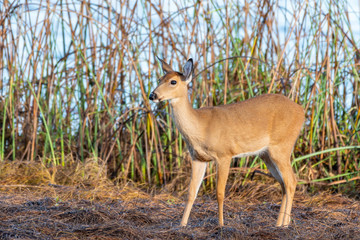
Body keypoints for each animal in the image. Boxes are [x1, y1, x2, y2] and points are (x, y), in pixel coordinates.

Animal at [149, 57, 304, 227]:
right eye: (159, 79)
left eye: (173, 81)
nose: (152, 95)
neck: (201, 127)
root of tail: (302, 110)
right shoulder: (198, 158)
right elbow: (191, 193)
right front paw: (182, 225)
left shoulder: (224, 154)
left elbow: (220, 193)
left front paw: (221, 224)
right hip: (266, 155)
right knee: (284, 184)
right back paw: (279, 223)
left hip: (281, 147)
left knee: (291, 181)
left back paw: (284, 225)